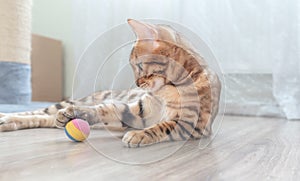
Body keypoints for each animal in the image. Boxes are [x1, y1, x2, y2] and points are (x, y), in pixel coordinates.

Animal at [0, 19, 220, 147]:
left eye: (139, 65)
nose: (137, 83)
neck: (168, 90)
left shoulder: (191, 124)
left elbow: (162, 126)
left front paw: (138, 135)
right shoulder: (139, 111)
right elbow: (107, 109)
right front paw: (80, 113)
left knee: (46, 119)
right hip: (65, 102)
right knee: (37, 112)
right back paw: (7, 117)